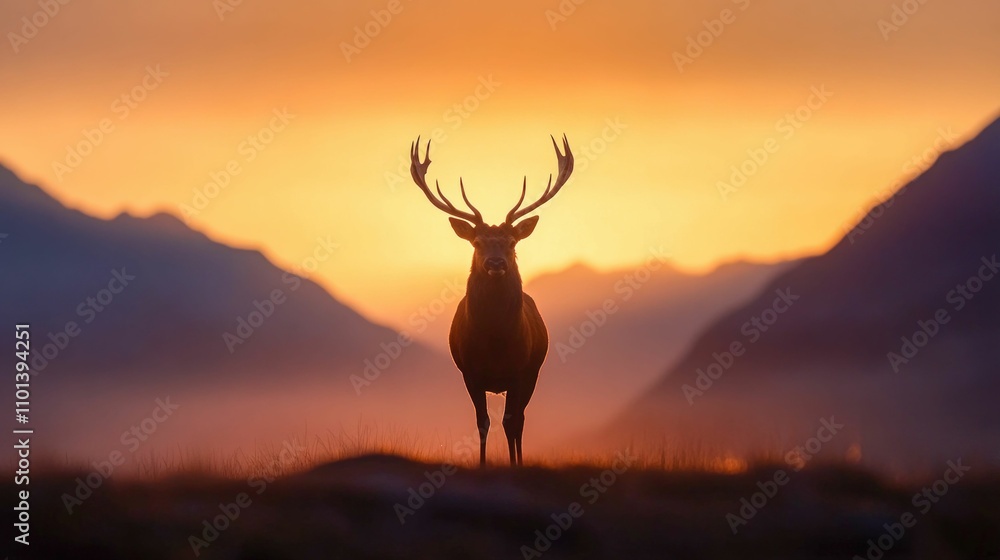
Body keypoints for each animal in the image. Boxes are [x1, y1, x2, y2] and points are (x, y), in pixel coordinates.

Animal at [408, 135, 574, 466]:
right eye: (477, 242)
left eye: (511, 242)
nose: (495, 262)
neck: (496, 342)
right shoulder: (470, 372)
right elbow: (483, 422)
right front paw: (483, 464)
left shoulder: (521, 372)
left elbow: (511, 422)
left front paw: (515, 465)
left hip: (533, 373)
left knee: (519, 420)